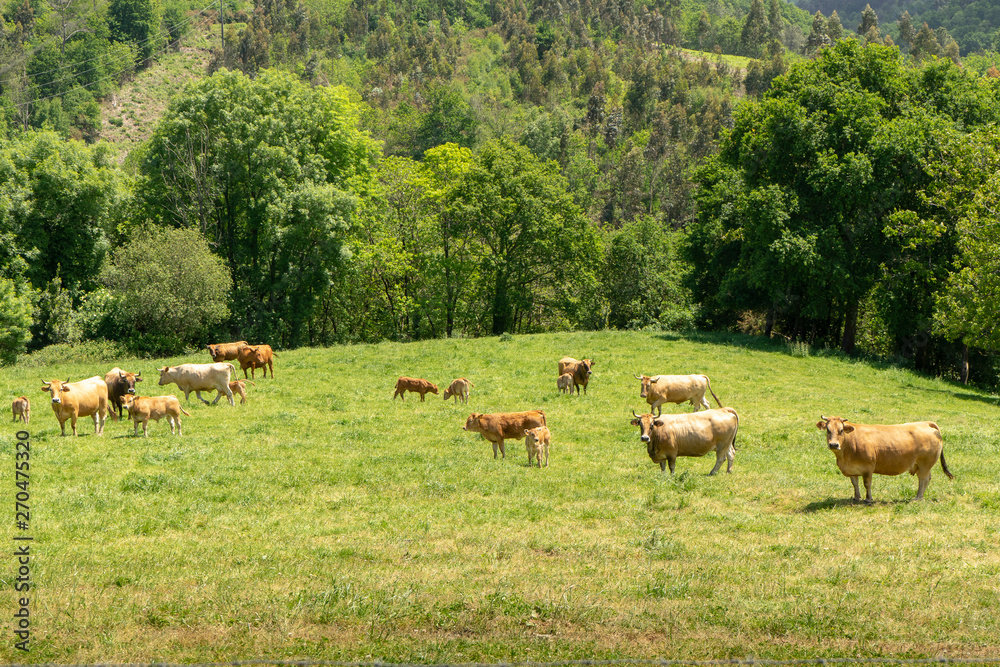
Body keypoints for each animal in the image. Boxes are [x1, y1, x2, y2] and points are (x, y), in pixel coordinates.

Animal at [816, 415, 954, 503]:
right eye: (828, 430)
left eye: (841, 430)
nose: (833, 444)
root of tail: (925, 423)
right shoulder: (852, 469)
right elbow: (855, 484)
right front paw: (856, 497)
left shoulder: (868, 468)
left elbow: (867, 484)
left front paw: (868, 499)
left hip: (925, 464)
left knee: (923, 479)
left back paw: (918, 497)